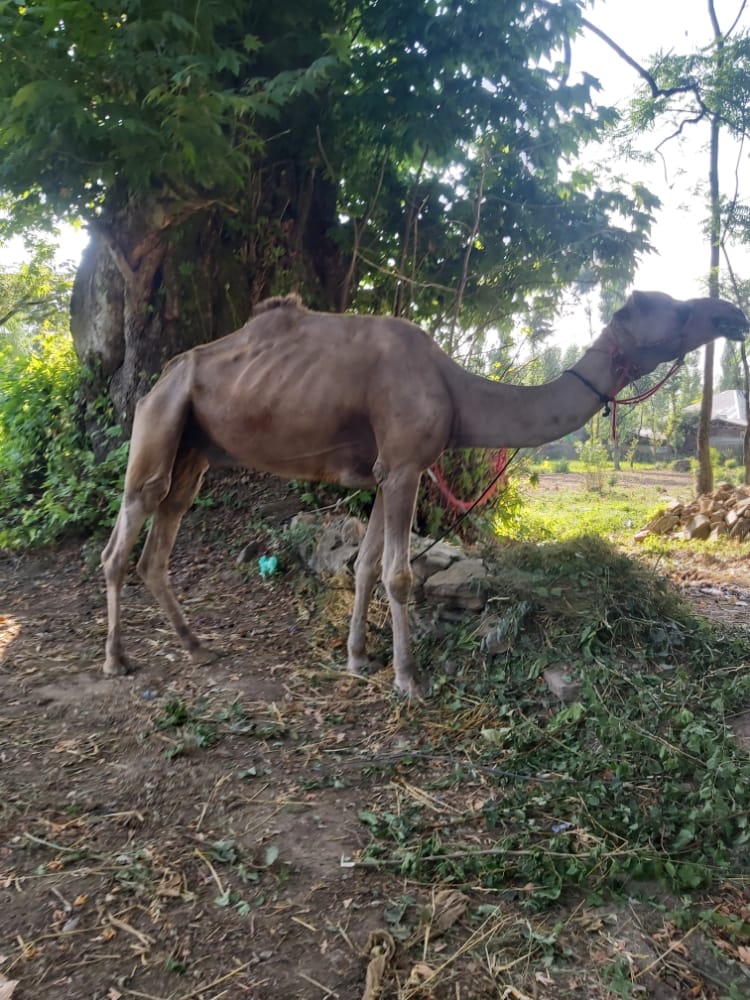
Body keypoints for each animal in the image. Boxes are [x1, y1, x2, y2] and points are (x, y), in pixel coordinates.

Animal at [101, 290, 748, 696]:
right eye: (676, 308)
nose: (731, 313)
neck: (458, 391)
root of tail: (163, 376)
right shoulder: (407, 465)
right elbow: (398, 574)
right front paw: (408, 679)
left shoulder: (386, 470)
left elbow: (364, 567)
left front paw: (358, 658)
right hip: (160, 421)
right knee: (125, 534)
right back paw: (117, 659)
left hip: (196, 450)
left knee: (163, 533)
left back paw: (196, 647)